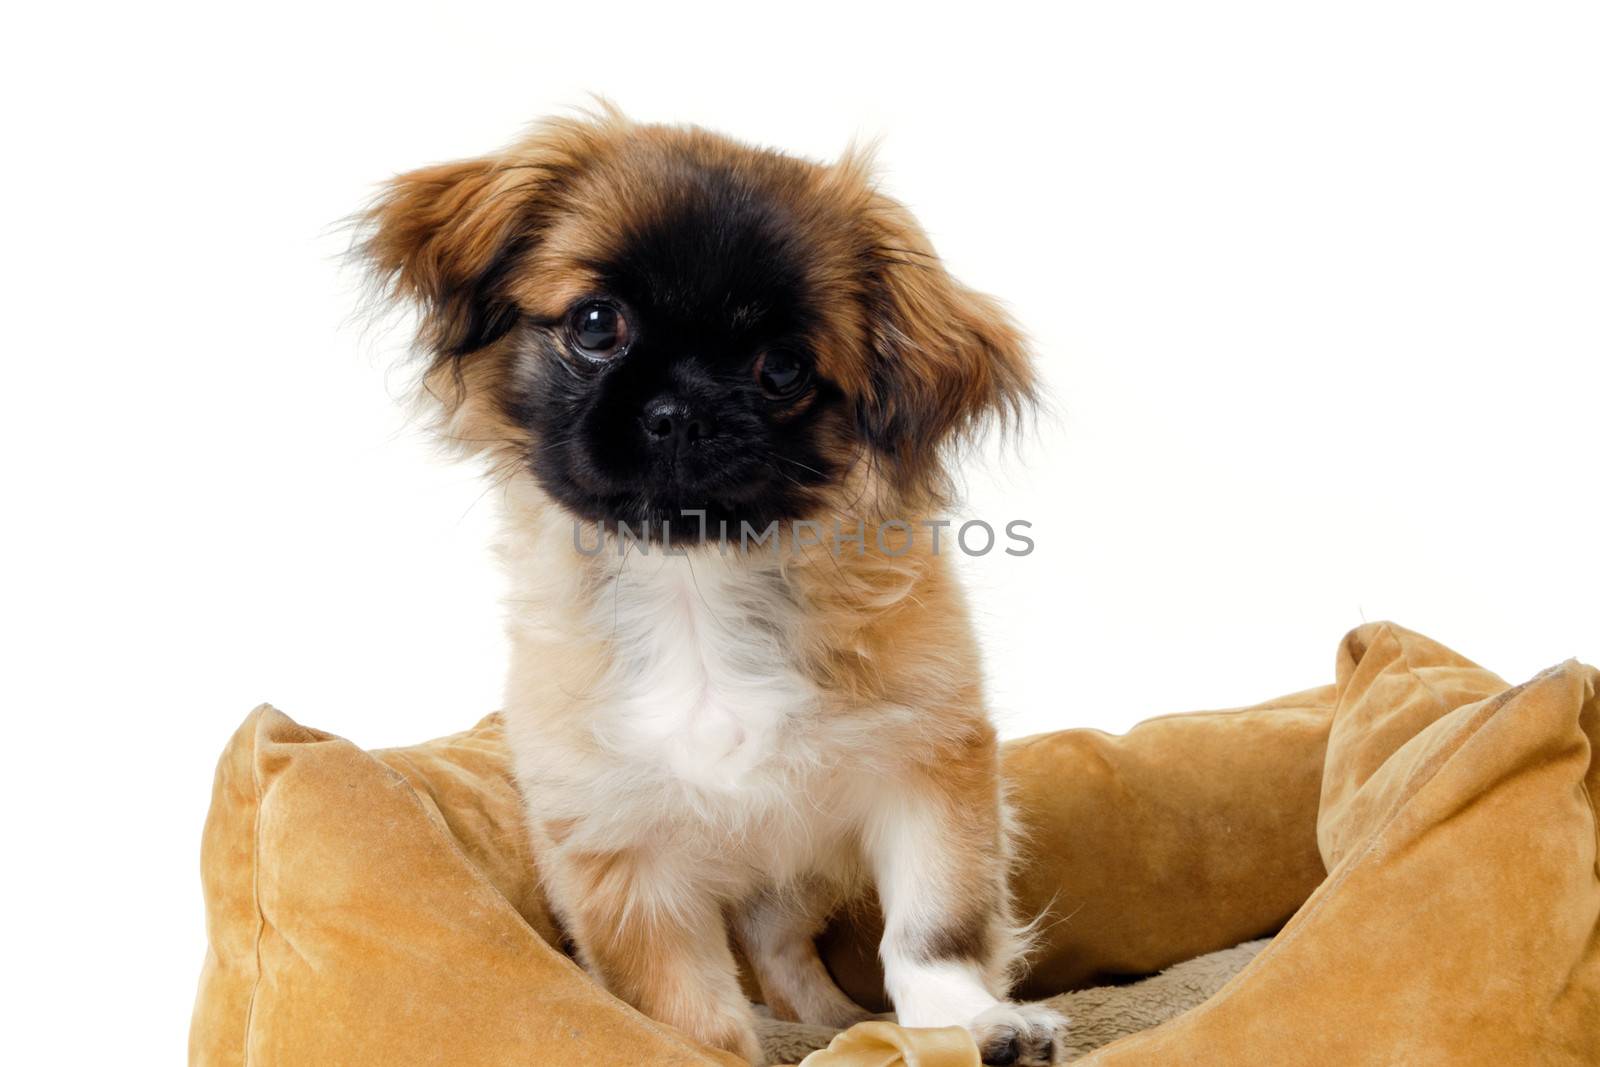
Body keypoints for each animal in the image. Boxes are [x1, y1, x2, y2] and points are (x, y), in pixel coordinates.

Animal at [361, 110, 1062, 1067]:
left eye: (784, 369)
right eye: (596, 323)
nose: (681, 410)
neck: (693, 591)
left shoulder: (925, 770)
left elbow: (932, 930)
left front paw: (972, 1022)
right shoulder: (625, 857)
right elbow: (690, 1012)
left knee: (783, 949)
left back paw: (836, 1021)